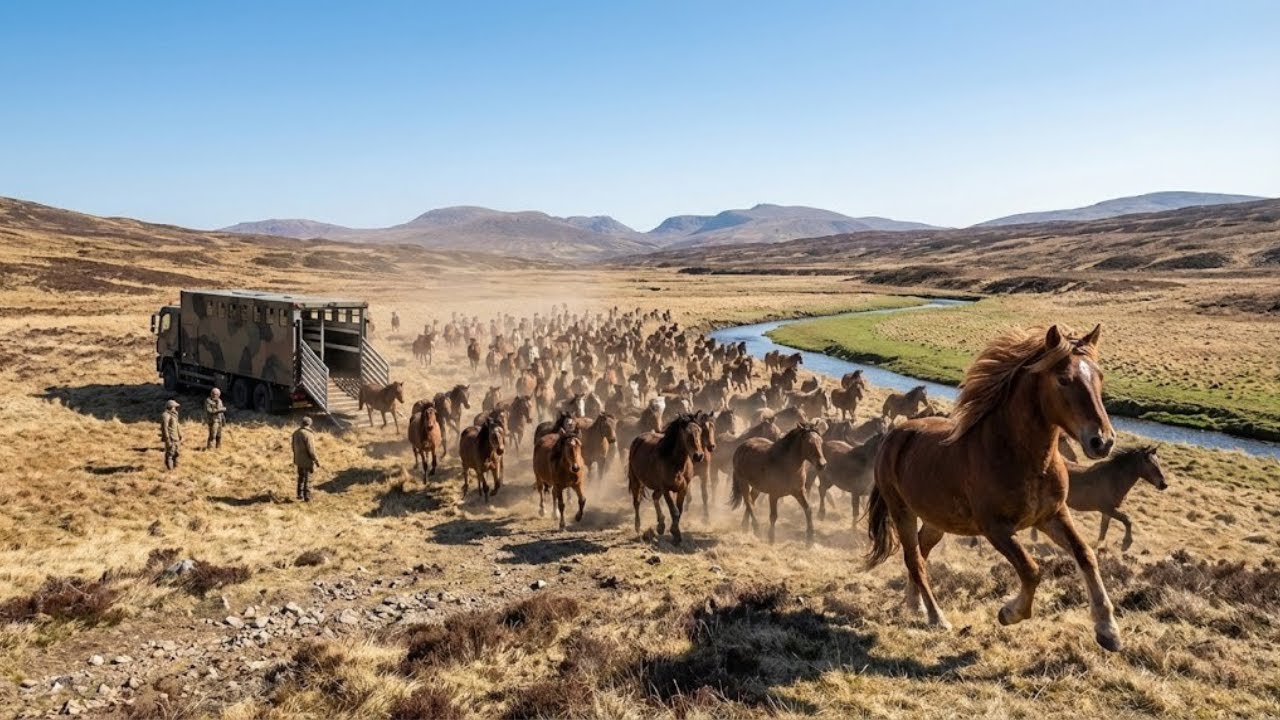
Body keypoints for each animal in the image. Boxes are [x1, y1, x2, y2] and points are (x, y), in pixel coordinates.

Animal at [627, 414, 706, 544]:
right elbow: (674, 511)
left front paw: (674, 532)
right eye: (687, 433)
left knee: (654, 497)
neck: (676, 463)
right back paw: (638, 527)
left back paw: (660, 525)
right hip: (636, 481)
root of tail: (637, 439)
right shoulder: (666, 489)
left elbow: (679, 511)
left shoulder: (683, 489)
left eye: (699, 431)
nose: (698, 456)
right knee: (637, 502)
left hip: (657, 487)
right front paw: (676, 534)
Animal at [866, 324, 1122, 652]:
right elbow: (1031, 569)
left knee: (920, 554)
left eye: (1100, 377)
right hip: (902, 512)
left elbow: (1085, 555)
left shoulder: (1052, 515)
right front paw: (1009, 613)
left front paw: (1108, 629)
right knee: (915, 559)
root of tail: (893, 436)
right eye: (1063, 379)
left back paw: (916, 605)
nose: (1102, 441)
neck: (1023, 458)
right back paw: (936, 617)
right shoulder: (996, 528)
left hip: (937, 521)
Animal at [1030, 446, 1168, 550]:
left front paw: (1098, 546)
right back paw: (1034, 536)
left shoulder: (1107, 511)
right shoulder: (1107, 508)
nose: (1163, 484)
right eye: (1148, 462)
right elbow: (1127, 520)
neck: (1113, 479)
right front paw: (1126, 544)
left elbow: (1104, 528)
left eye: (1158, 462)